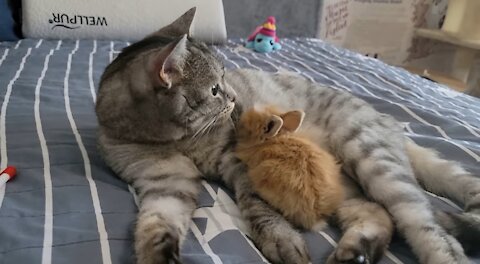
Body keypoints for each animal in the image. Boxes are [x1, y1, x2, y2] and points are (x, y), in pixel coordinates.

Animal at [95, 7, 480, 264]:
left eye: (225, 78)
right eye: (215, 89)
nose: (233, 98)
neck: (176, 140)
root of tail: (387, 120)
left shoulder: (240, 162)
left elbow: (258, 206)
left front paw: (280, 238)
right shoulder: (165, 181)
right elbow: (157, 221)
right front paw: (158, 251)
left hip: (370, 157)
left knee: (431, 230)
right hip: (346, 186)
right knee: (378, 215)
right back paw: (356, 251)